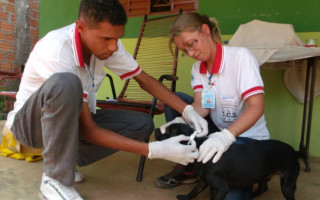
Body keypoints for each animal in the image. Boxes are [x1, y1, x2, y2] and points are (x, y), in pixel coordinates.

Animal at [155, 122, 300, 199]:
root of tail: (294, 151)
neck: (200, 146)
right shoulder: (204, 181)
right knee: (263, 187)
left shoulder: (221, 188)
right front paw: (185, 197)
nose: (156, 129)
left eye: (172, 131)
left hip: (287, 184)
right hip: (262, 175)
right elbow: (194, 191)